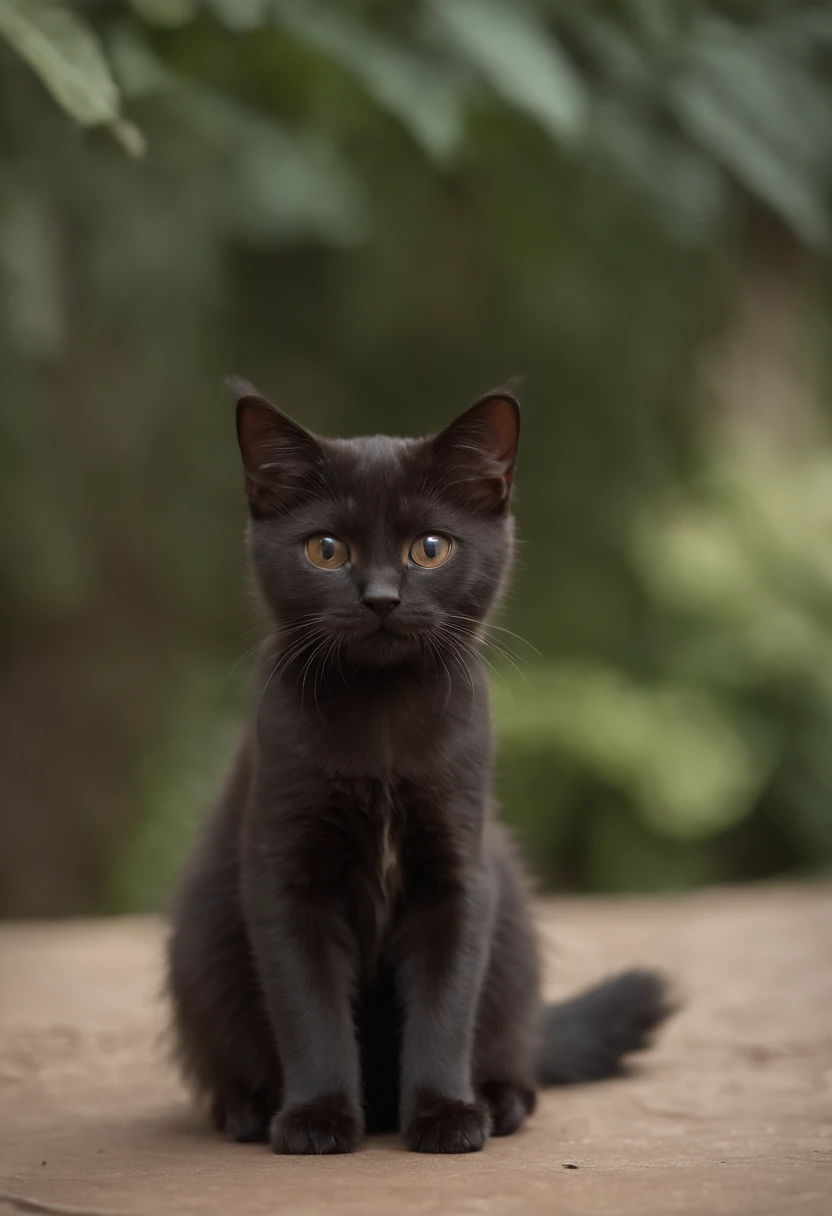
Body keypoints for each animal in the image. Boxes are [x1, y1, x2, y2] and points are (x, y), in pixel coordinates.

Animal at [165, 376, 671, 1147]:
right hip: (202, 939)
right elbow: (308, 1009)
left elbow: (444, 1005)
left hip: (512, 929)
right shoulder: (284, 876)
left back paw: (502, 1098)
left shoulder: (460, 875)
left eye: (429, 548)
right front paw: (315, 1118)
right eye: (325, 550)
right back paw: (249, 1109)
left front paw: (444, 1114)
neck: (381, 721)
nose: (381, 597)